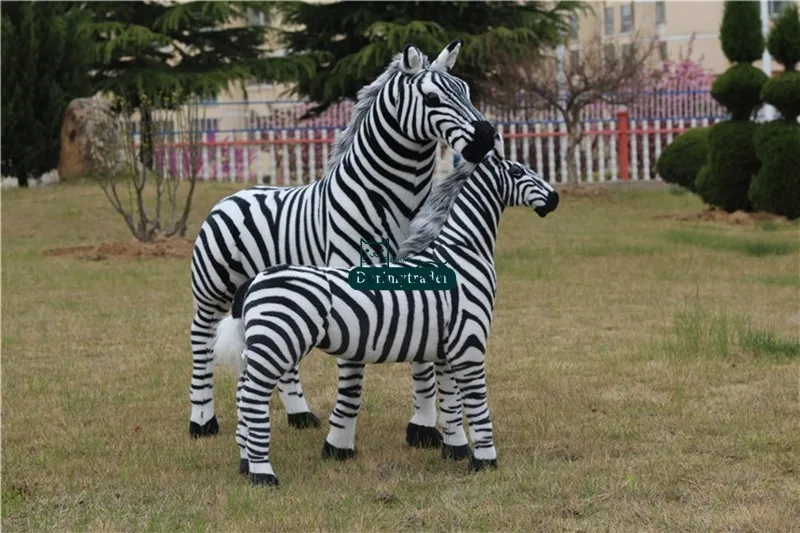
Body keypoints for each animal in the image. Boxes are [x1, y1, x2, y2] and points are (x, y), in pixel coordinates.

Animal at [189, 40, 497, 456]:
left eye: (466, 91)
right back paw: (202, 422)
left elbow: (421, 358)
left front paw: (422, 429)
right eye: (432, 98)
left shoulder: (422, 288)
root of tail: (238, 193)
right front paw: (340, 443)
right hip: (212, 291)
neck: (394, 202)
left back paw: (299, 414)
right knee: (201, 343)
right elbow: (352, 372)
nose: (488, 137)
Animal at [211, 141, 560, 486]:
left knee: (243, 396)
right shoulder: (469, 342)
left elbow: (450, 401)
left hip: (262, 347)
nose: (555, 198)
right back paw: (263, 475)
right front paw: (485, 460)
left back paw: (246, 465)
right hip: (276, 345)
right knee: (252, 400)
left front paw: (456, 451)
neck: (460, 256)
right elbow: (476, 401)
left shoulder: (446, 346)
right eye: (518, 171)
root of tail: (253, 281)